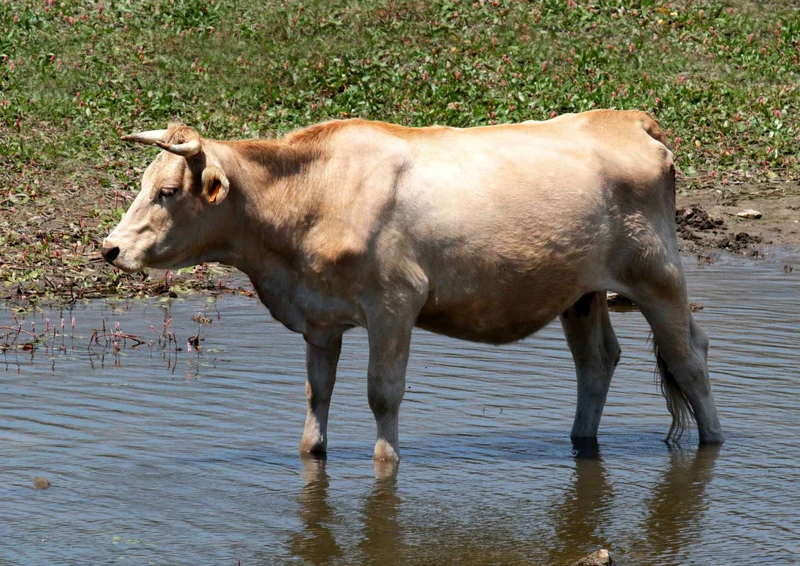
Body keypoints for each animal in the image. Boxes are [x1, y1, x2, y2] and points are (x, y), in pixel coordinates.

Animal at [103, 110, 724, 461]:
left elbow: (383, 393)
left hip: (657, 274)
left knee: (688, 355)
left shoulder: (394, 303)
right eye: (143, 184)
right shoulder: (320, 317)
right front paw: (312, 452)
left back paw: (714, 443)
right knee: (597, 360)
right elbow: (317, 394)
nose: (110, 249)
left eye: (166, 192)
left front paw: (387, 464)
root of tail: (626, 117)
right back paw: (581, 442)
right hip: (581, 291)